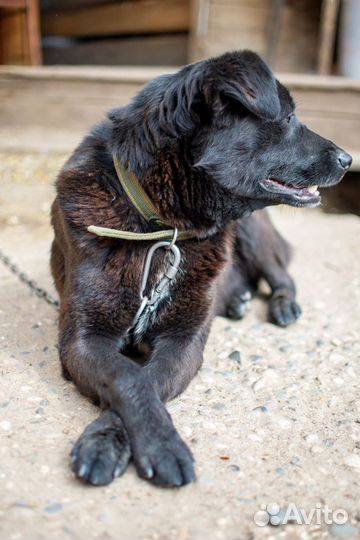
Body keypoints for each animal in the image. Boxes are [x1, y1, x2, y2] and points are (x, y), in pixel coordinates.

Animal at [50, 50, 352, 488]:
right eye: (288, 117)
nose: (349, 159)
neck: (163, 227)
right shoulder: (82, 340)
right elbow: (128, 377)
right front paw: (131, 444)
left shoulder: (184, 342)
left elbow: (149, 379)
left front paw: (129, 442)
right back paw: (238, 300)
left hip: (252, 230)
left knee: (282, 275)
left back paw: (282, 305)